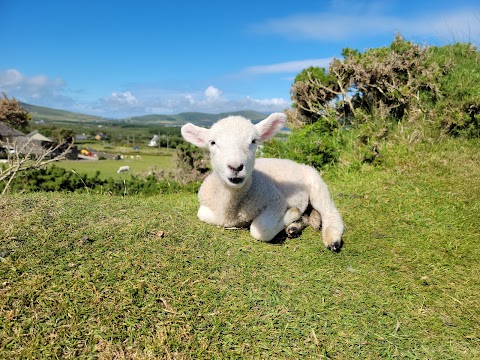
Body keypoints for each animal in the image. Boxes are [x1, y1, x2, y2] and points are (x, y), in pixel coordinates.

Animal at [181, 112, 344, 250]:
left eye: (254, 141)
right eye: (212, 143)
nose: (236, 167)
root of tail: (299, 164)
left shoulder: (276, 200)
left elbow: (260, 230)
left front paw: (290, 214)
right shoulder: (206, 209)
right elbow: (204, 215)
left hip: (317, 185)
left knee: (330, 212)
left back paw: (332, 240)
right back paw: (294, 228)